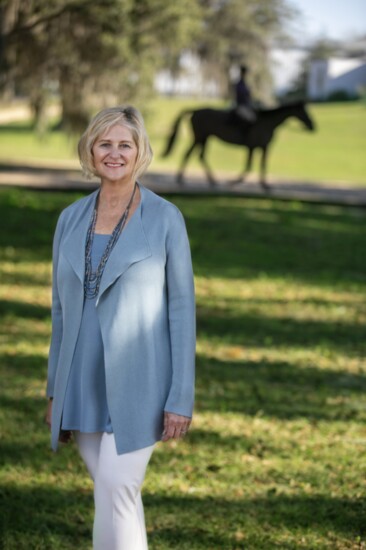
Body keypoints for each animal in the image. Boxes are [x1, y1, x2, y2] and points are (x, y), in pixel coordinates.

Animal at [162, 102, 316, 191]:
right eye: (304, 112)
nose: (312, 126)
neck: (268, 123)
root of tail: (195, 110)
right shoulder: (253, 147)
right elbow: (249, 167)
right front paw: (234, 181)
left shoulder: (262, 147)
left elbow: (262, 165)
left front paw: (265, 185)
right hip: (200, 137)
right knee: (190, 154)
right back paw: (185, 179)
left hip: (204, 138)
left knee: (198, 155)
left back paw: (209, 180)